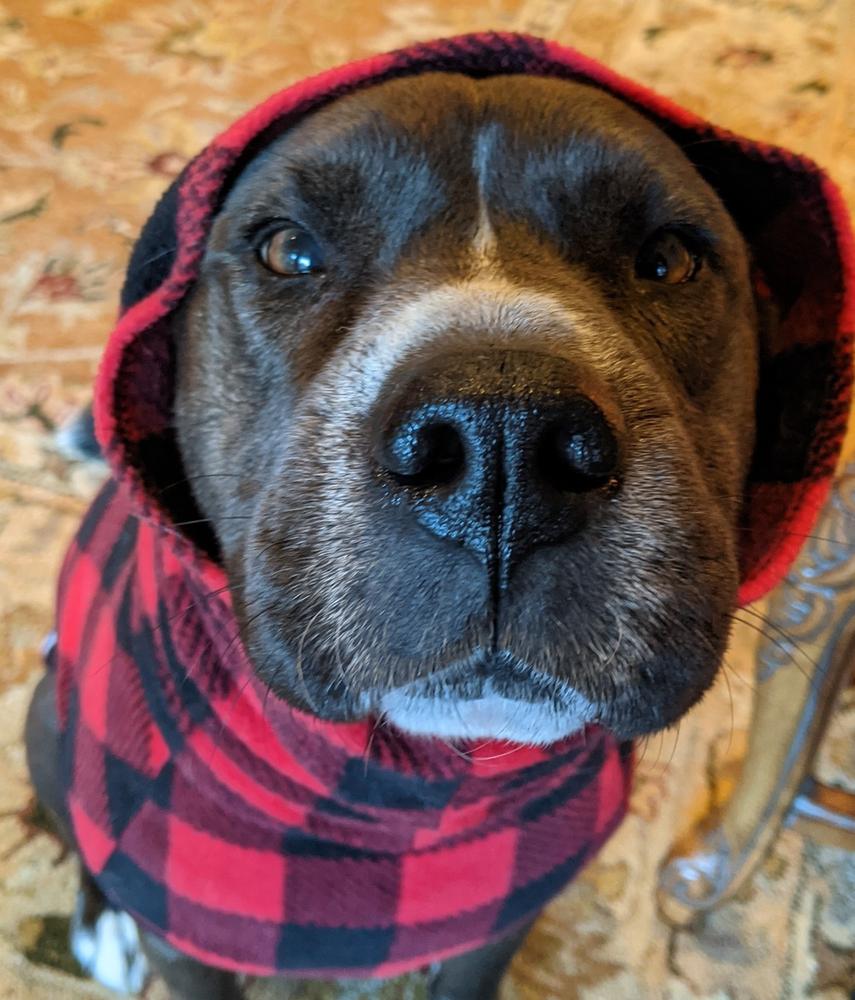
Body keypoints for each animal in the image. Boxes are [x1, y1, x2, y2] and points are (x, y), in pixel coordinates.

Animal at [23, 31, 852, 1000]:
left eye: (668, 257)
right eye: (287, 251)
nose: (503, 444)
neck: (417, 800)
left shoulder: (503, 919)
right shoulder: (186, 934)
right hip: (48, 724)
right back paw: (97, 921)